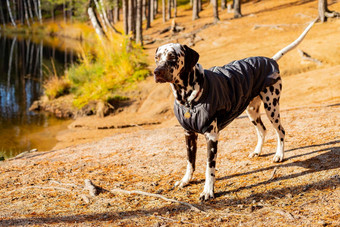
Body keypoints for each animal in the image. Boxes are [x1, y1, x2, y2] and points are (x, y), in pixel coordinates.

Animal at [153, 19, 316, 200]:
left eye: (172, 57)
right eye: (157, 58)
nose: (157, 72)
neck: (188, 99)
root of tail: (271, 60)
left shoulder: (212, 137)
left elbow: (209, 168)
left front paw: (208, 191)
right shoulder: (189, 134)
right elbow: (190, 162)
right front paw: (186, 180)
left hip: (271, 108)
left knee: (280, 131)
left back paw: (279, 155)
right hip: (252, 111)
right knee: (262, 130)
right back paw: (257, 151)